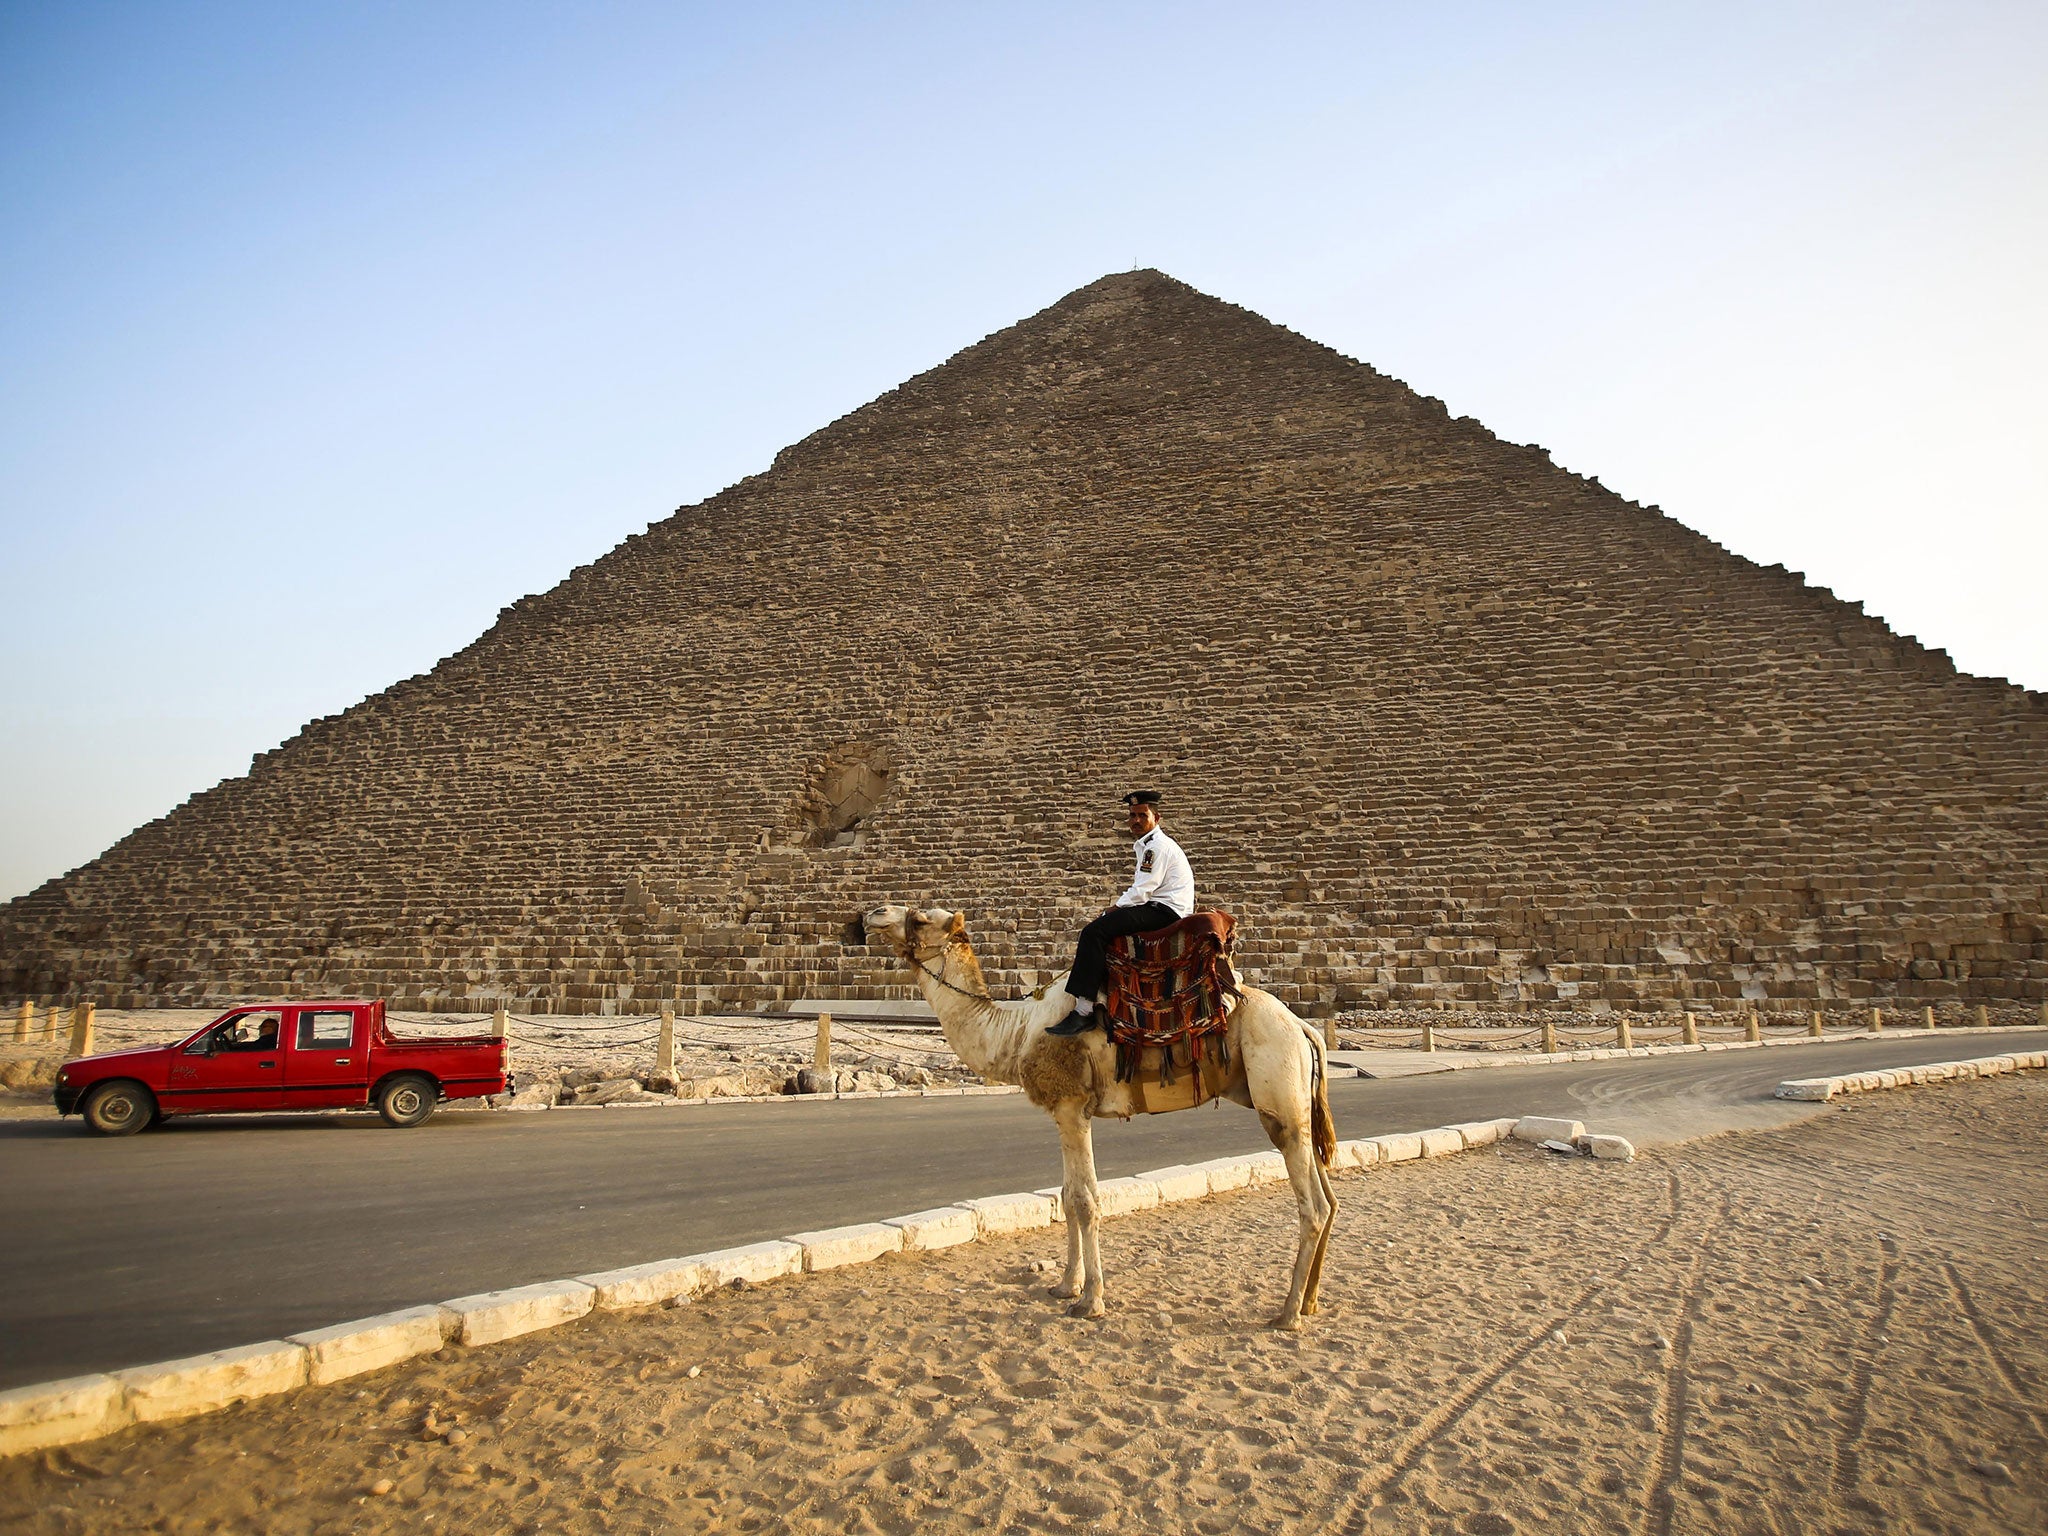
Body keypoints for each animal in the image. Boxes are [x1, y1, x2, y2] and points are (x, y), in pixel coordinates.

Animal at [864, 909, 1343, 1327]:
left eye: (921, 918)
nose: (873, 914)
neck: (1016, 1031)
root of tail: (1304, 1028)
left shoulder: (1073, 1105)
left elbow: (1085, 1201)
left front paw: (1091, 1301)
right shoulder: (1066, 1112)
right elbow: (1066, 1195)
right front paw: (1065, 1286)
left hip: (1277, 1092)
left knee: (1313, 1204)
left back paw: (1288, 1314)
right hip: (1297, 1103)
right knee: (1329, 1196)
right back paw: (1311, 1301)